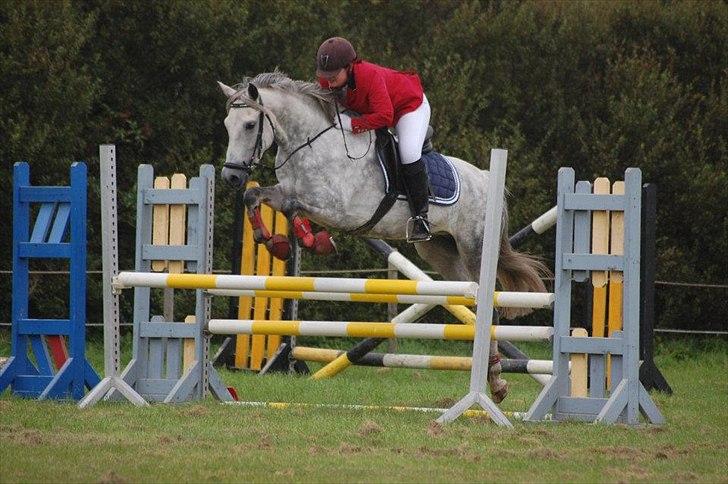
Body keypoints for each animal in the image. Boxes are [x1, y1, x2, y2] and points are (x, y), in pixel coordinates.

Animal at [219, 72, 548, 402]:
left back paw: (497, 382)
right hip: (441, 252)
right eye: (227, 124)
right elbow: (254, 196)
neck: (310, 144)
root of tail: (484, 176)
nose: (230, 177)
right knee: (477, 301)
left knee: (490, 304)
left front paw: (314, 241)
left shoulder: (336, 209)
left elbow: (291, 206)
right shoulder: (285, 192)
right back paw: (493, 379)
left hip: (474, 247)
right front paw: (273, 242)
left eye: (250, 125)